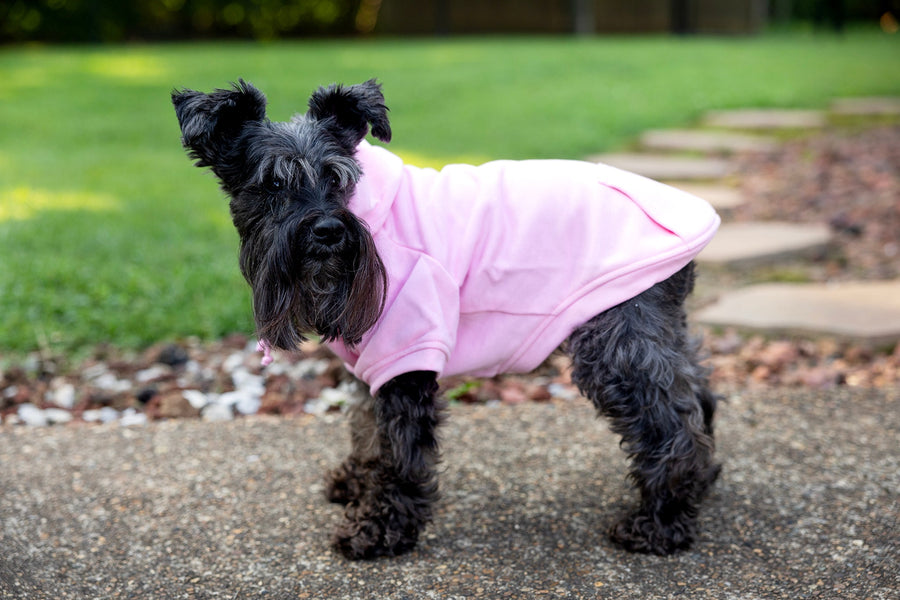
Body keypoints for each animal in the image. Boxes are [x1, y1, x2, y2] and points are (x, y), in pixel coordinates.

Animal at [172, 78, 724, 556]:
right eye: (271, 185)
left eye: (336, 178)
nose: (328, 231)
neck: (373, 223)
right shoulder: (370, 363)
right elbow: (366, 429)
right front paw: (357, 483)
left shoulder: (404, 357)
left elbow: (398, 450)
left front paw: (380, 528)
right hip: (654, 331)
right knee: (696, 392)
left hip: (615, 347)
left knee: (671, 426)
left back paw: (660, 523)